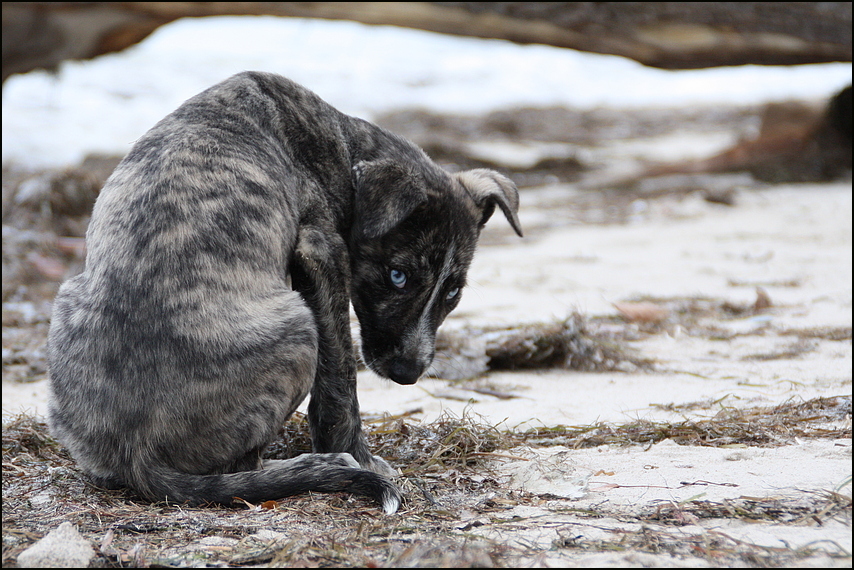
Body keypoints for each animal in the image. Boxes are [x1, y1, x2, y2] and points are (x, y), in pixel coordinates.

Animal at [51, 70, 528, 510]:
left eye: (452, 293)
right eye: (398, 276)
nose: (408, 374)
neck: (344, 147)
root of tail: (136, 457)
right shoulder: (322, 256)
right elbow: (341, 378)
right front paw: (358, 454)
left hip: (68, 302)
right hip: (298, 327)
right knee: (241, 469)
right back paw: (317, 466)